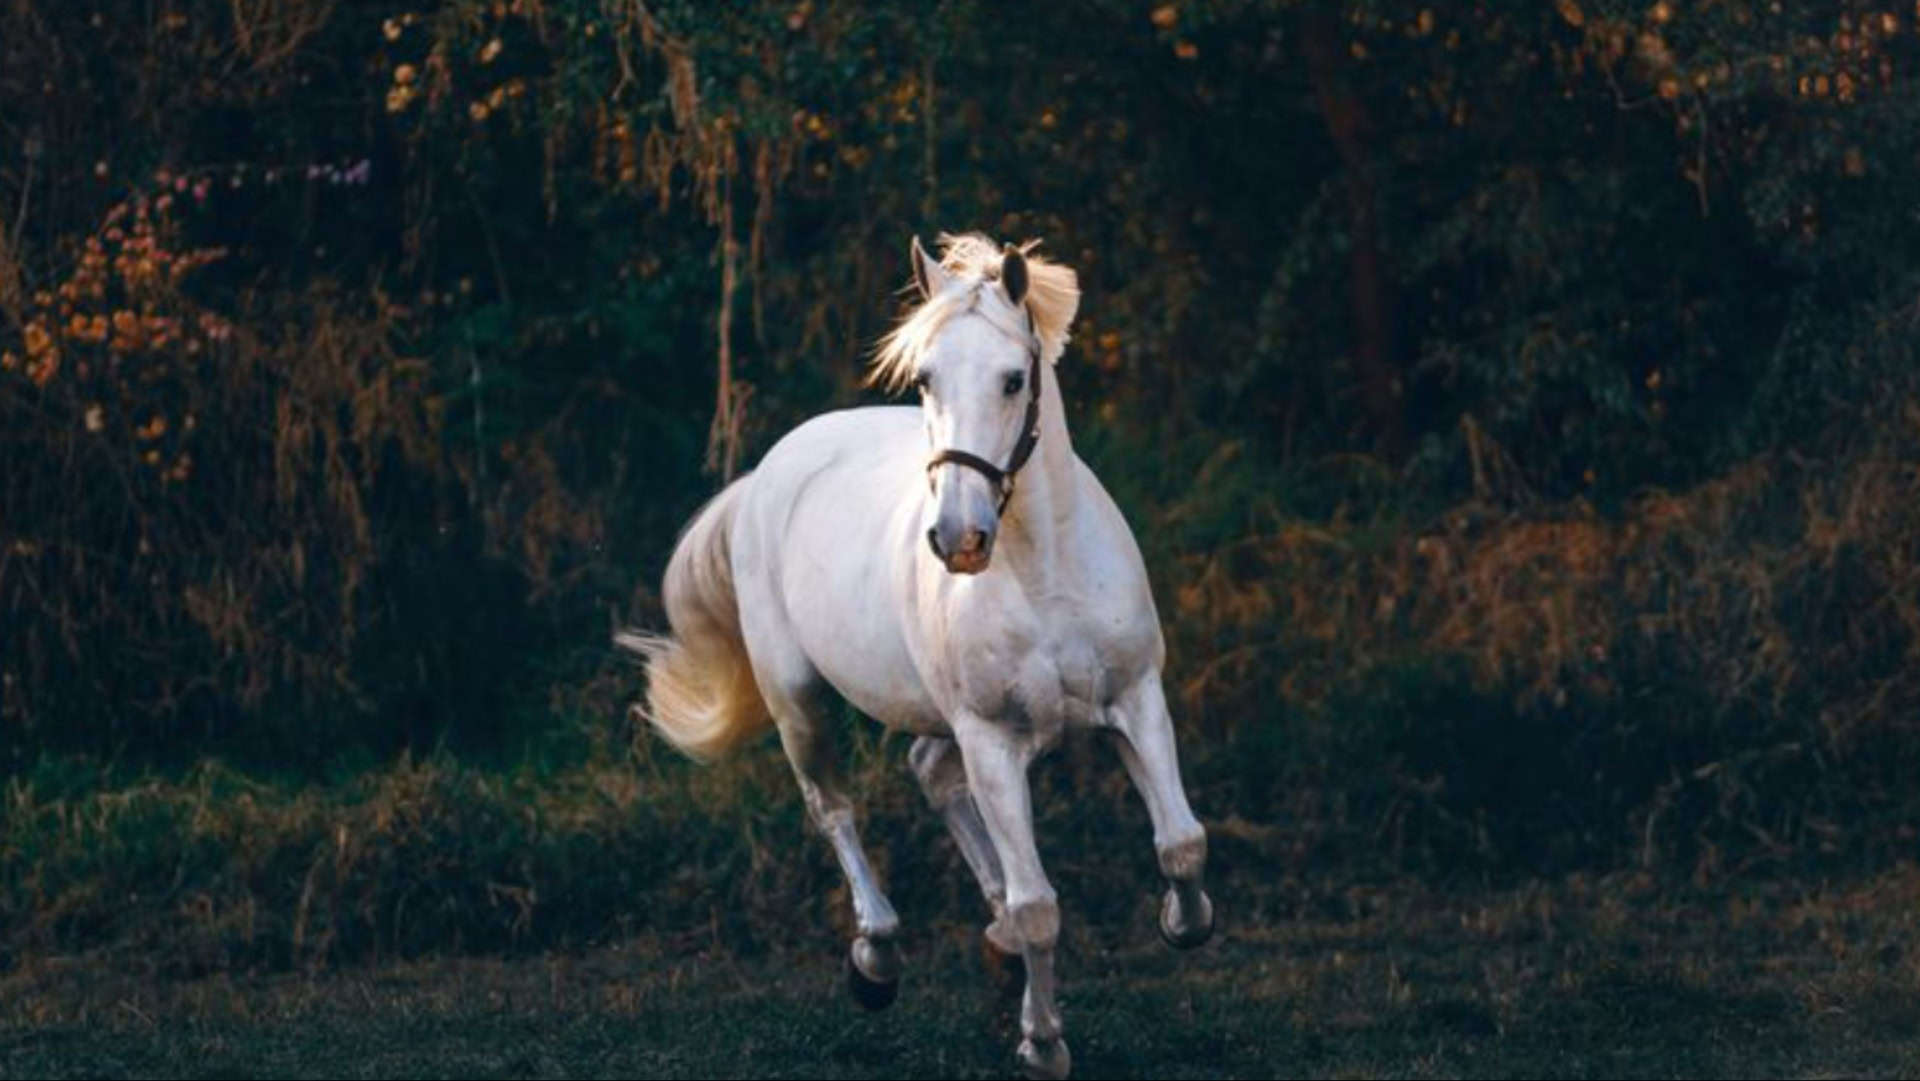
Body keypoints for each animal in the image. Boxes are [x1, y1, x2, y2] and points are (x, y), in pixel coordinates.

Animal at [622, 232, 1205, 1075]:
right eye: (926, 378)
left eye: (1014, 378)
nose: (958, 538)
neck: (1044, 571)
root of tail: (768, 472)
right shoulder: (991, 740)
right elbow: (1039, 905)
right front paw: (1043, 1040)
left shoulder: (1136, 699)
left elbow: (1182, 846)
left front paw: (1177, 921)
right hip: (798, 699)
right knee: (834, 808)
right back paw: (877, 958)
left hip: (935, 715)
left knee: (929, 773)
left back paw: (991, 945)